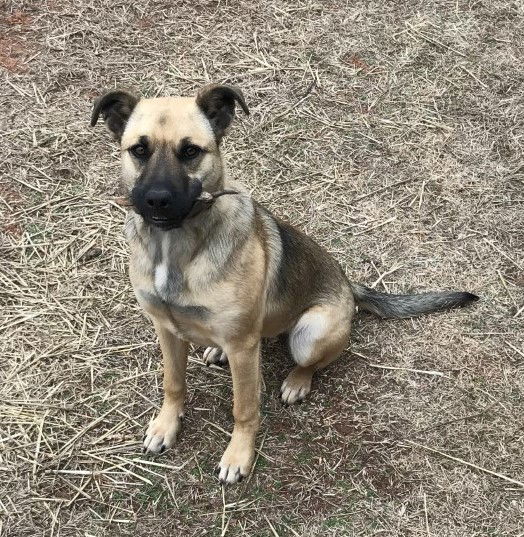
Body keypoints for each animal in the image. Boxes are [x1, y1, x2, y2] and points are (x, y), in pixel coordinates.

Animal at [91, 85, 478, 486]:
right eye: (139, 149)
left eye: (191, 151)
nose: (157, 200)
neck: (176, 246)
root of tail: (349, 285)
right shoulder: (166, 329)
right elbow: (173, 383)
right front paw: (166, 425)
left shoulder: (244, 351)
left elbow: (244, 408)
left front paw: (238, 455)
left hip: (310, 332)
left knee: (310, 360)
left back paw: (297, 381)